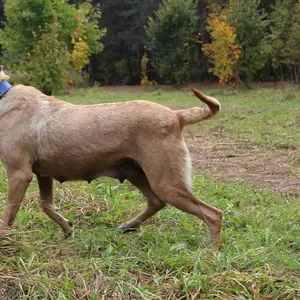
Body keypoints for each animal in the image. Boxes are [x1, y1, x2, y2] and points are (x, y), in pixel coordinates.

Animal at [0, 67, 223, 250]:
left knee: (213, 214)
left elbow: (7, 215)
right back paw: (128, 226)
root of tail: (176, 115)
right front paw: (67, 228)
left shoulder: (19, 174)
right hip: (136, 173)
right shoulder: (43, 174)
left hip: (166, 182)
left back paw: (212, 253)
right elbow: (46, 206)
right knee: (156, 202)